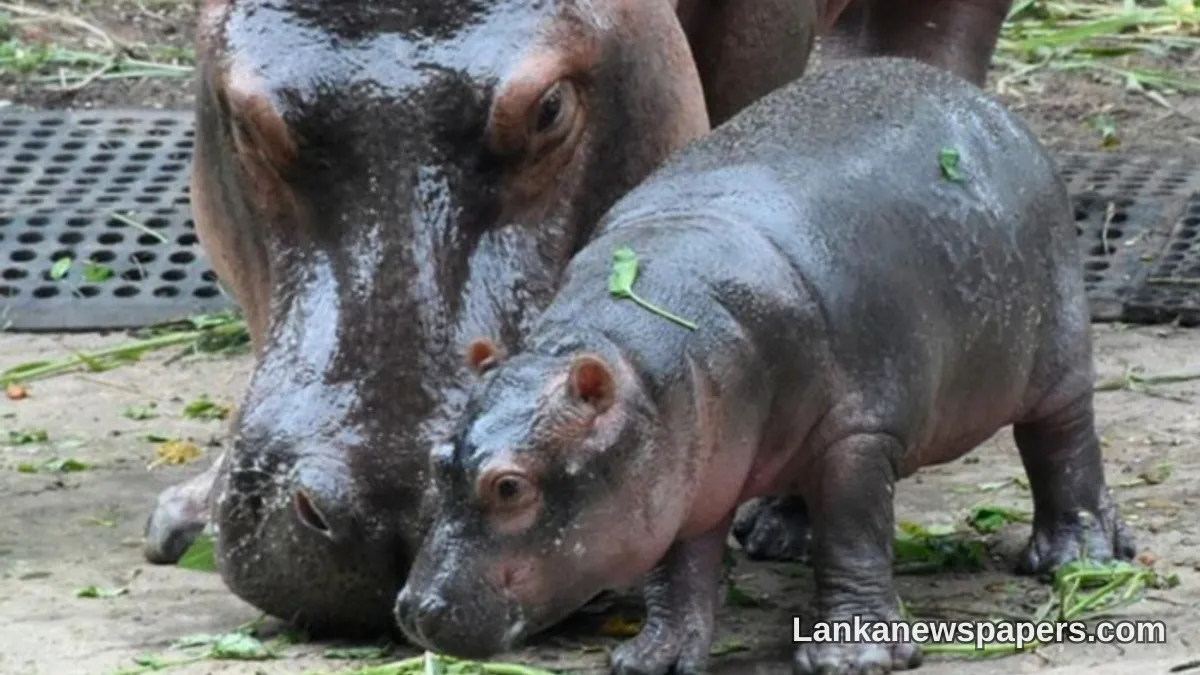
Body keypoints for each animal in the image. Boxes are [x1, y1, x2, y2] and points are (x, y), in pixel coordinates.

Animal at [393, 56, 1135, 675]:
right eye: (435, 460)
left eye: (509, 486)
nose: (414, 609)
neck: (641, 350)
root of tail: (988, 104)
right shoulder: (685, 470)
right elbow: (677, 566)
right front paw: (654, 659)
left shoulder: (858, 434)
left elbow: (854, 533)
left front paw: (854, 660)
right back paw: (776, 534)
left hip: (1057, 351)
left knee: (1062, 442)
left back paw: (1079, 556)